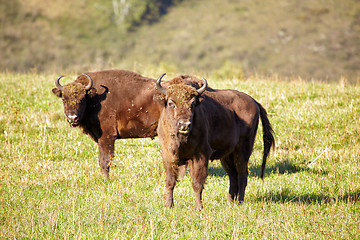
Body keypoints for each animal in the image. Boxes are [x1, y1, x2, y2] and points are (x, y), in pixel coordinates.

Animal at [155, 74, 276, 209]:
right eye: (171, 103)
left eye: (193, 103)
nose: (185, 124)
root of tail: (254, 102)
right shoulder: (168, 154)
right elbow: (170, 181)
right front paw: (168, 205)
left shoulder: (200, 155)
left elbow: (197, 182)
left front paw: (198, 207)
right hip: (227, 156)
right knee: (233, 176)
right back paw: (230, 202)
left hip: (243, 150)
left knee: (242, 175)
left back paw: (240, 202)